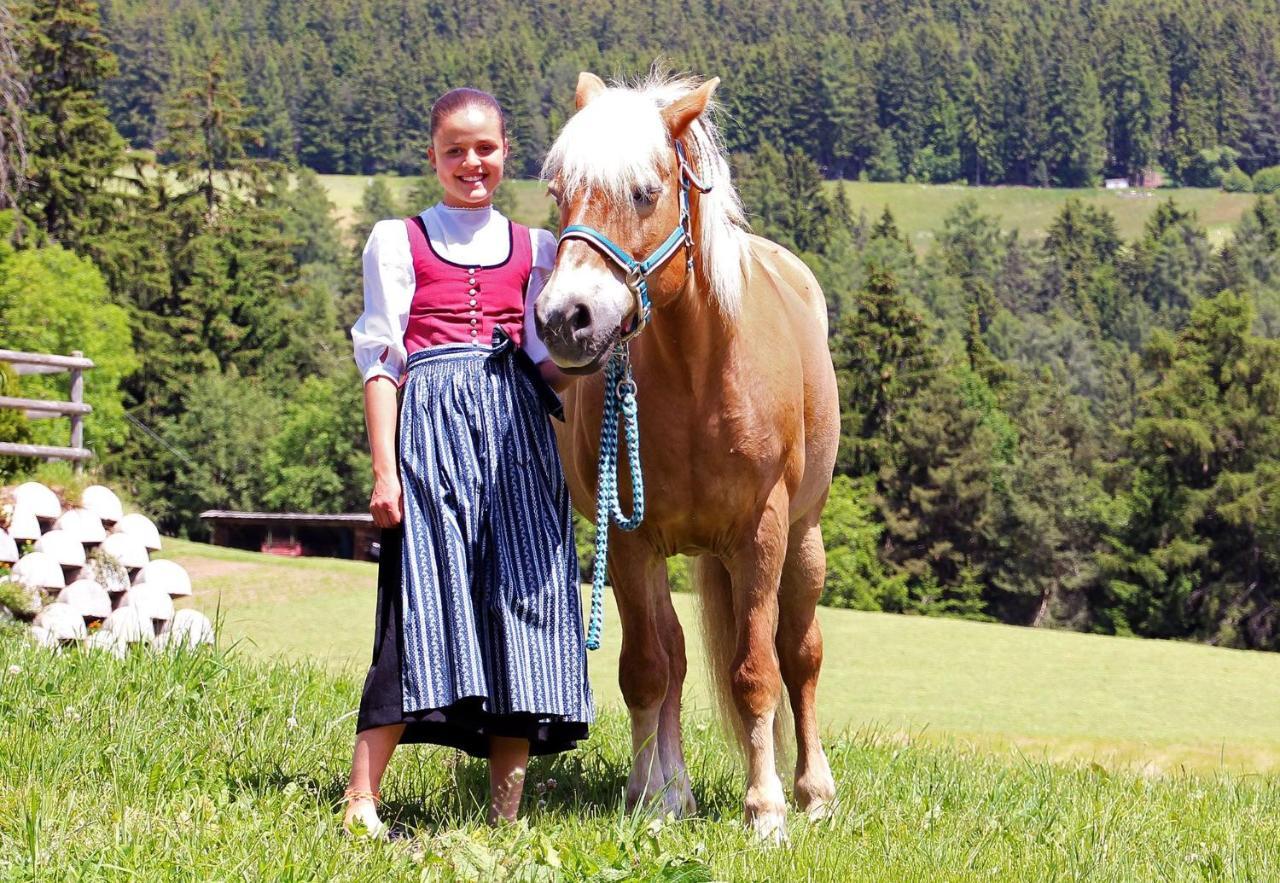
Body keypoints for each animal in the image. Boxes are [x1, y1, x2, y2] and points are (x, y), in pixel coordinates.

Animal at [535, 70, 834, 839]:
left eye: (645, 191)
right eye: (559, 192)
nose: (565, 318)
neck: (701, 375)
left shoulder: (761, 534)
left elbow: (756, 670)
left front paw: (766, 810)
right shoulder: (630, 540)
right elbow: (647, 667)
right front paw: (653, 798)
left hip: (805, 539)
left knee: (801, 655)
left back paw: (814, 791)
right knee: (671, 655)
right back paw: (673, 789)